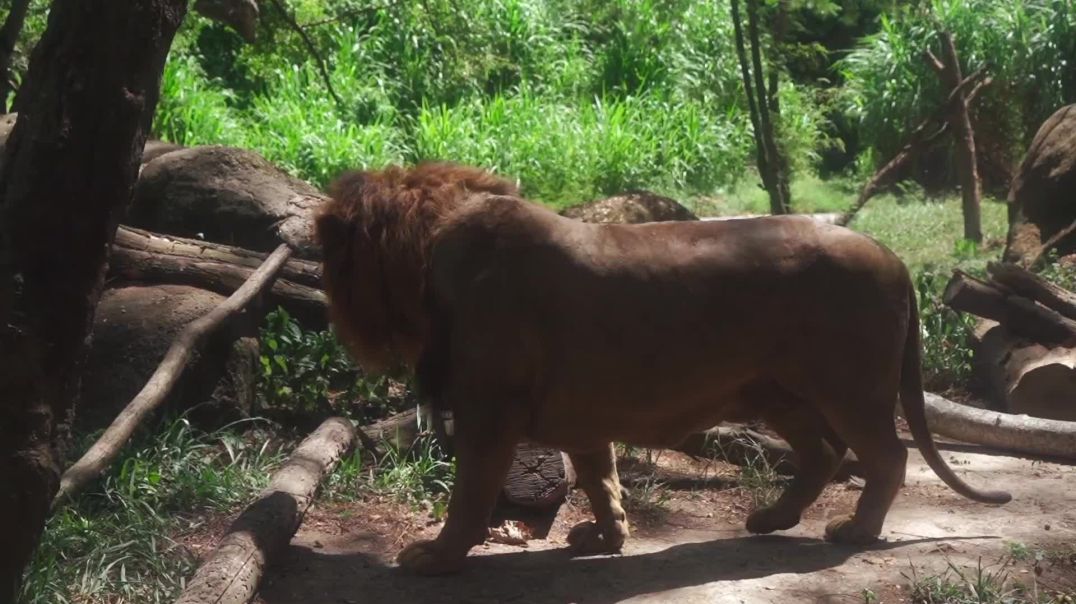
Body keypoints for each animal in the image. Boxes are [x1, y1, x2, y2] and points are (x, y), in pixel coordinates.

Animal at [315, 162, 1011, 576]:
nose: (325, 296)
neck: (436, 249)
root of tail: (893, 258)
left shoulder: (490, 411)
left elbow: (471, 493)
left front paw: (434, 555)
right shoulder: (582, 416)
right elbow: (602, 480)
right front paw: (605, 540)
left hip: (850, 388)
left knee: (887, 456)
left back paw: (855, 531)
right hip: (775, 391)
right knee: (824, 454)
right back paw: (769, 520)